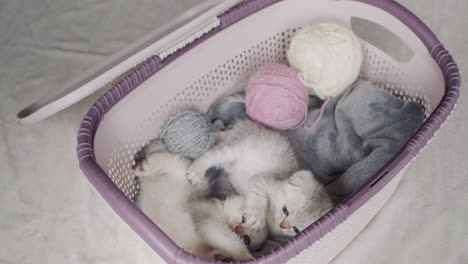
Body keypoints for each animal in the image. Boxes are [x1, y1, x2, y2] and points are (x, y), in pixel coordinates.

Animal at [135, 141, 266, 260]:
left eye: (247, 240)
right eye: (243, 218)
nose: (236, 229)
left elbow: (225, 246)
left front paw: (225, 257)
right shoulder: (206, 222)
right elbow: (232, 241)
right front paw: (246, 256)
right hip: (186, 175)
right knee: (164, 159)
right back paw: (142, 166)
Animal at [186, 119, 332, 237]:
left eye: (296, 229)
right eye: (285, 210)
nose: (283, 224)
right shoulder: (264, 179)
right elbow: (256, 189)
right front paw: (256, 214)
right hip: (239, 146)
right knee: (213, 154)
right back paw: (197, 170)